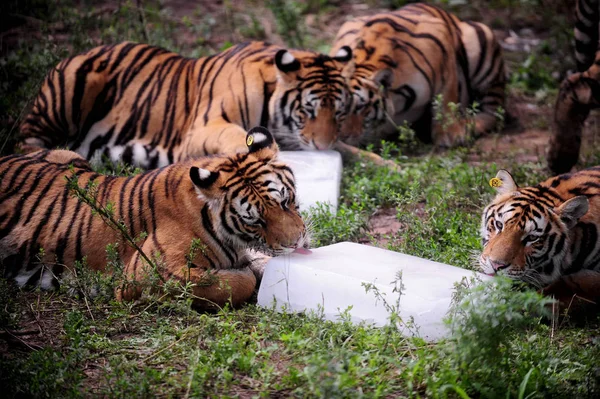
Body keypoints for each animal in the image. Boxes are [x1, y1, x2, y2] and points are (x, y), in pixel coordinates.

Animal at [0, 126, 310, 308]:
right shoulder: (147, 275)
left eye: (285, 201)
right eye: (254, 220)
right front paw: (242, 273)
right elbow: (236, 282)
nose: (296, 243)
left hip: (68, 156)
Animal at [17, 40, 356, 166]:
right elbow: (234, 133)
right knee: (27, 142)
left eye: (339, 112)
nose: (324, 145)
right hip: (72, 83)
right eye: (308, 110)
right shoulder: (203, 127)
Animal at [330, 3, 504, 147]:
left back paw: (469, 125)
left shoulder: (443, 48)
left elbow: (446, 100)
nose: (341, 137)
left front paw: (449, 135)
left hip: (482, 44)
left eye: (360, 107)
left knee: (494, 111)